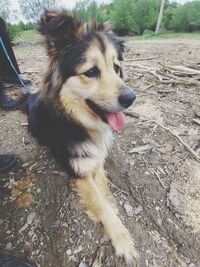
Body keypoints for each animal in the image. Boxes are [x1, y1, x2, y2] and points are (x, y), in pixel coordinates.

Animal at [27, 9, 138, 266]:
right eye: (91, 72)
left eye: (116, 68)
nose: (131, 98)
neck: (80, 122)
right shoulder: (77, 171)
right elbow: (101, 204)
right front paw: (121, 238)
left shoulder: (96, 162)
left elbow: (103, 191)